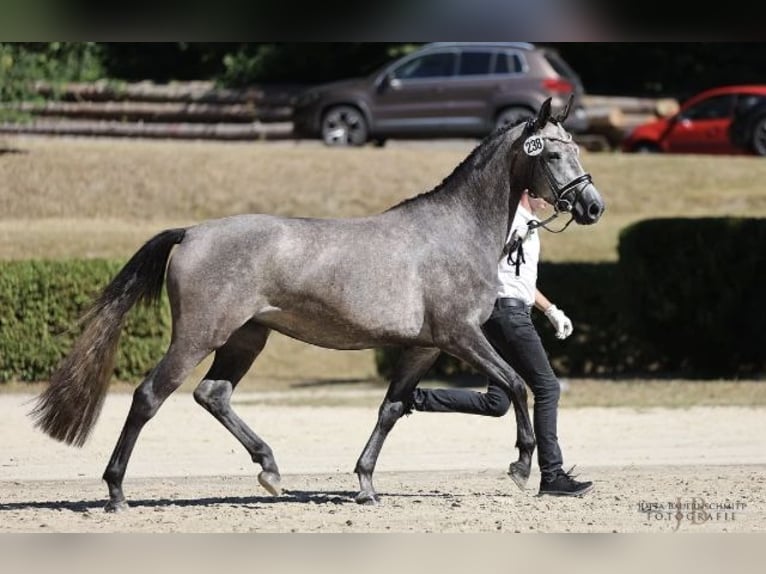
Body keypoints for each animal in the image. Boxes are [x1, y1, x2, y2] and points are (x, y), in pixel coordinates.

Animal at [30, 95, 608, 512]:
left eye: (577, 149)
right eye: (552, 153)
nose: (592, 206)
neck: (455, 232)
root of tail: (191, 232)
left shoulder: (423, 347)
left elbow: (392, 407)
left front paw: (366, 484)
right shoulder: (460, 336)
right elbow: (516, 386)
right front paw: (521, 469)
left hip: (247, 337)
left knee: (213, 395)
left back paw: (270, 471)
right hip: (200, 335)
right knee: (150, 396)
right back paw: (116, 492)